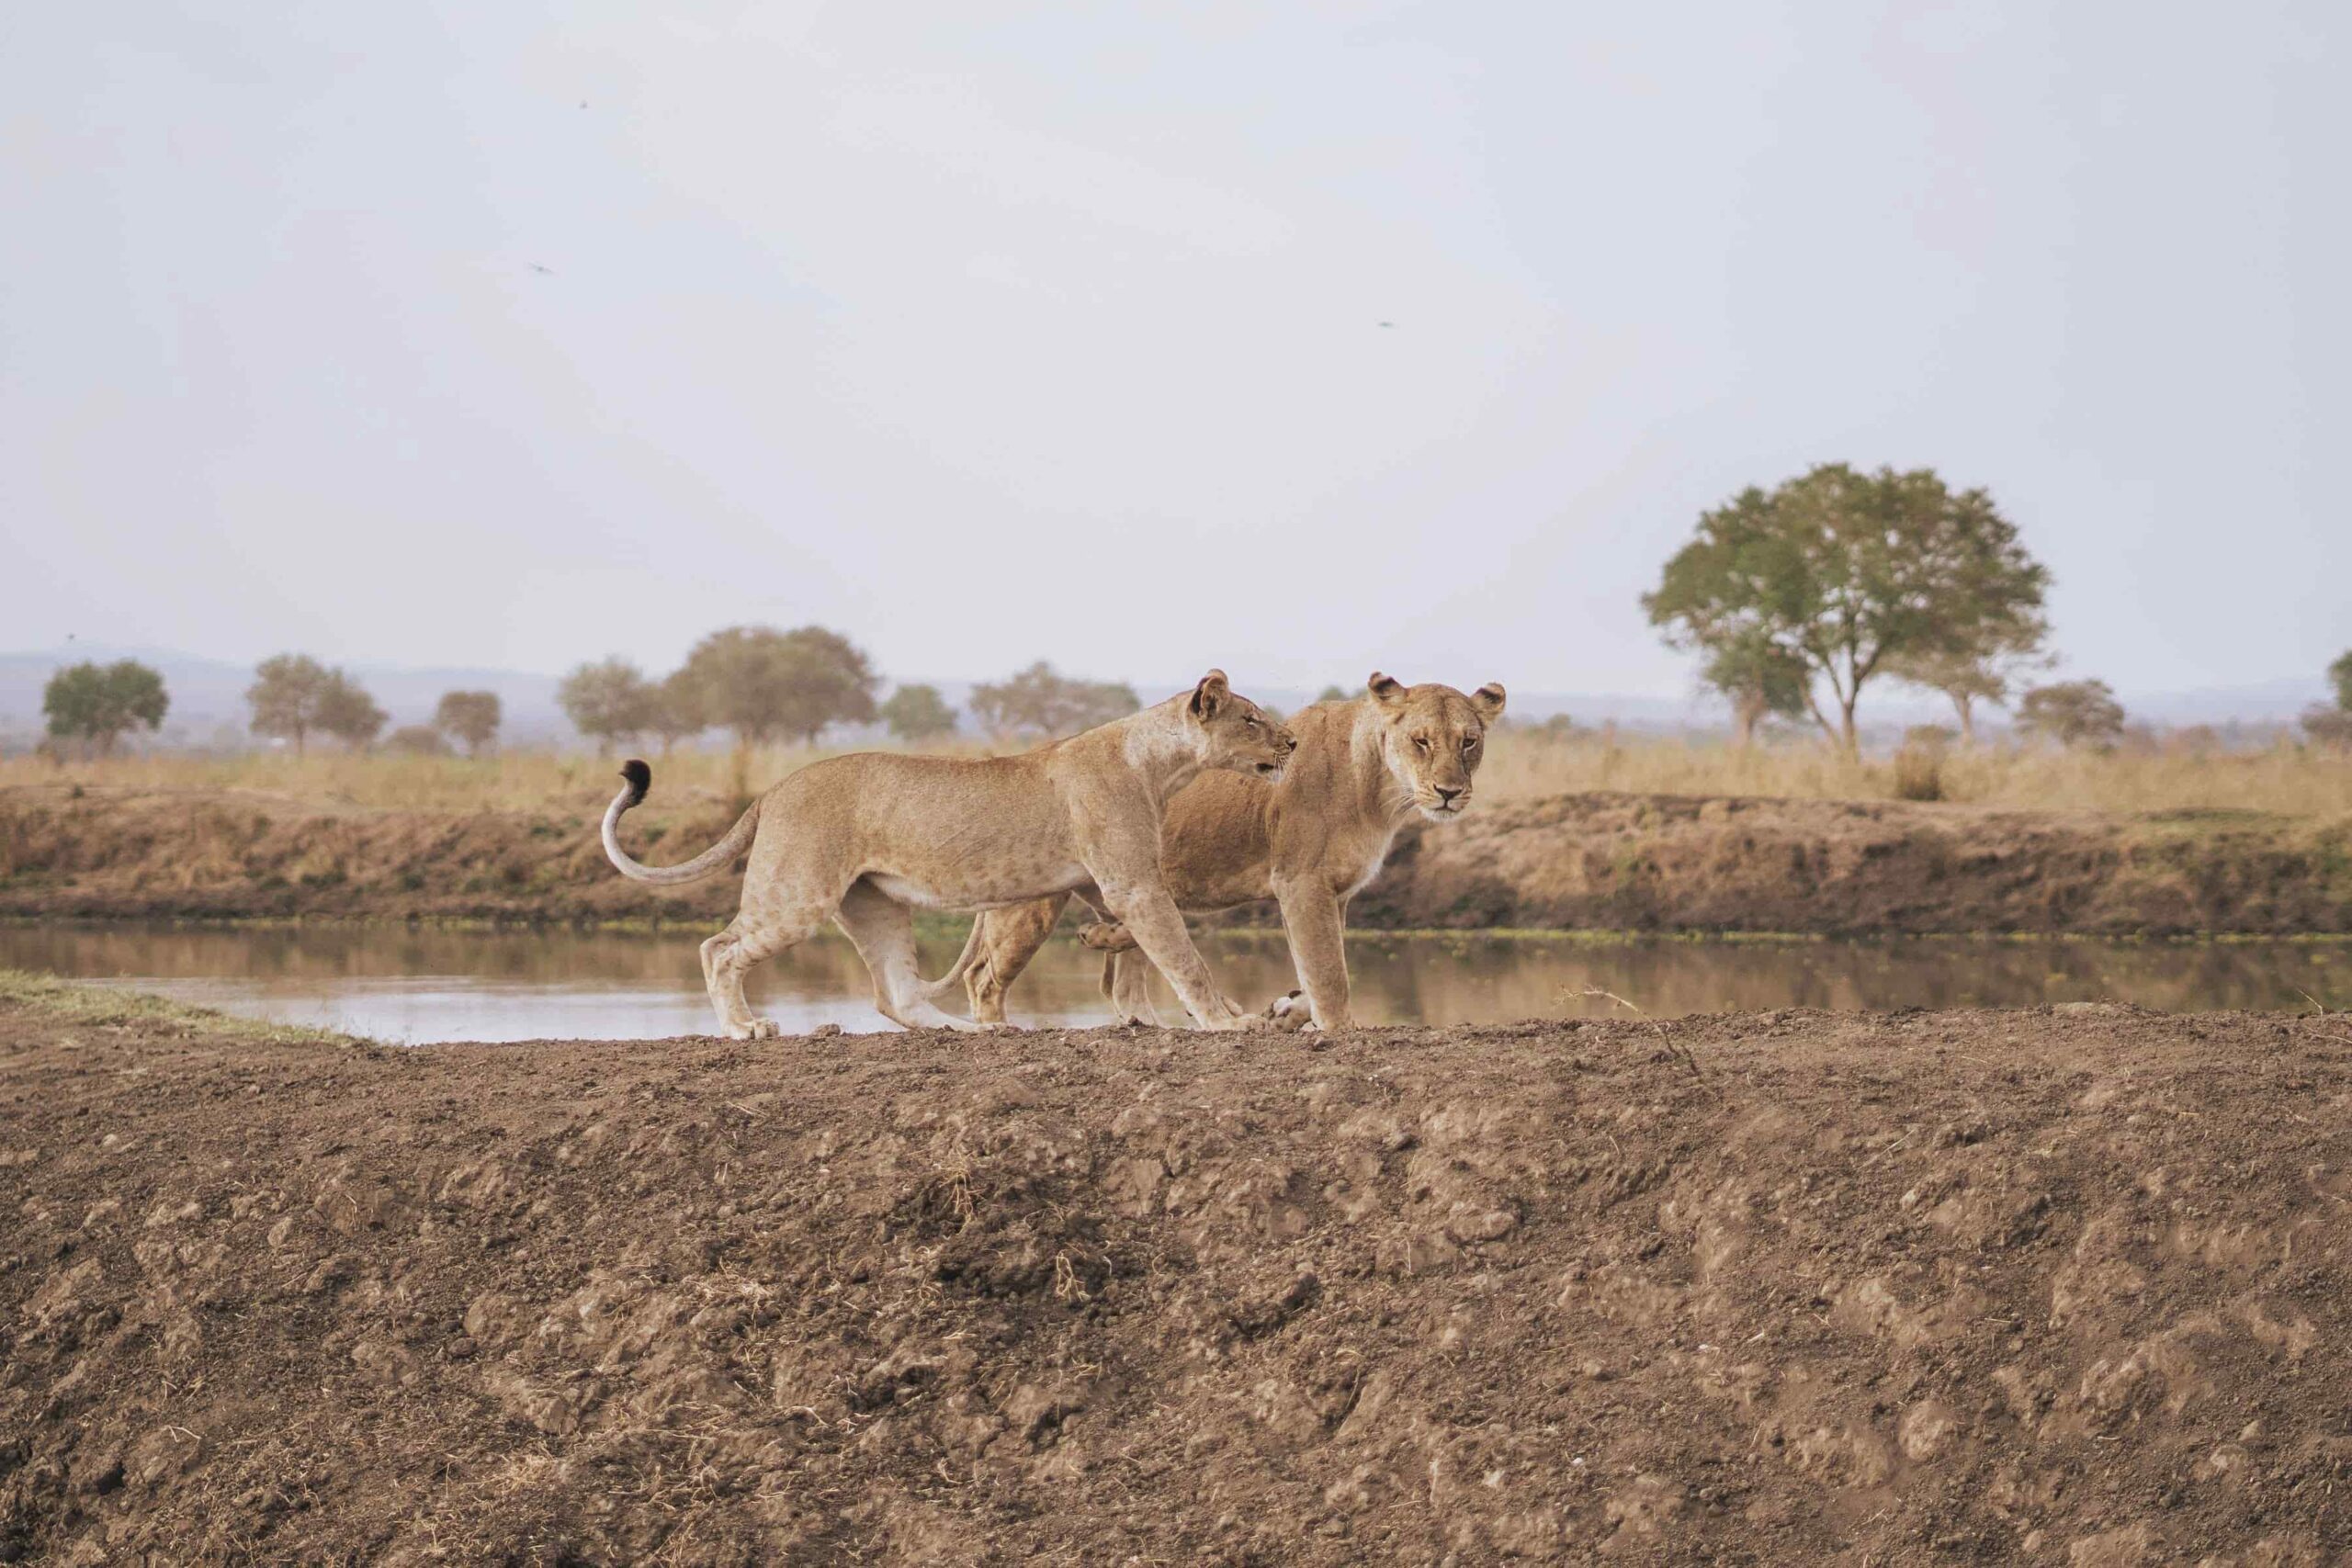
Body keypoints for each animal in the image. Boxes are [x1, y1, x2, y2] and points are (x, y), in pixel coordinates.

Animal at [599, 670, 1297, 1039]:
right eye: (1251, 719)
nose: (1292, 741)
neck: (1160, 765)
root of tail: (773, 787)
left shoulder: (1111, 883)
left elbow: (1145, 937)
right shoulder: (1131, 882)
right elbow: (1185, 955)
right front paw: (1229, 1021)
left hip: (875, 904)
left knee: (894, 996)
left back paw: (968, 1029)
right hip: (797, 893)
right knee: (718, 948)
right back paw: (746, 1028)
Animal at [927, 672, 1505, 1031]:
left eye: (1469, 741)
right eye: (1421, 741)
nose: (1450, 792)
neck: (1382, 790)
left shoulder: (1336, 892)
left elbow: (1316, 967)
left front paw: (1286, 1012)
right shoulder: (1301, 882)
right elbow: (1330, 972)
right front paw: (1338, 1027)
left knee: (1121, 974)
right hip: (1029, 904)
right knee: (985, 978)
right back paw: (1000, 1026)